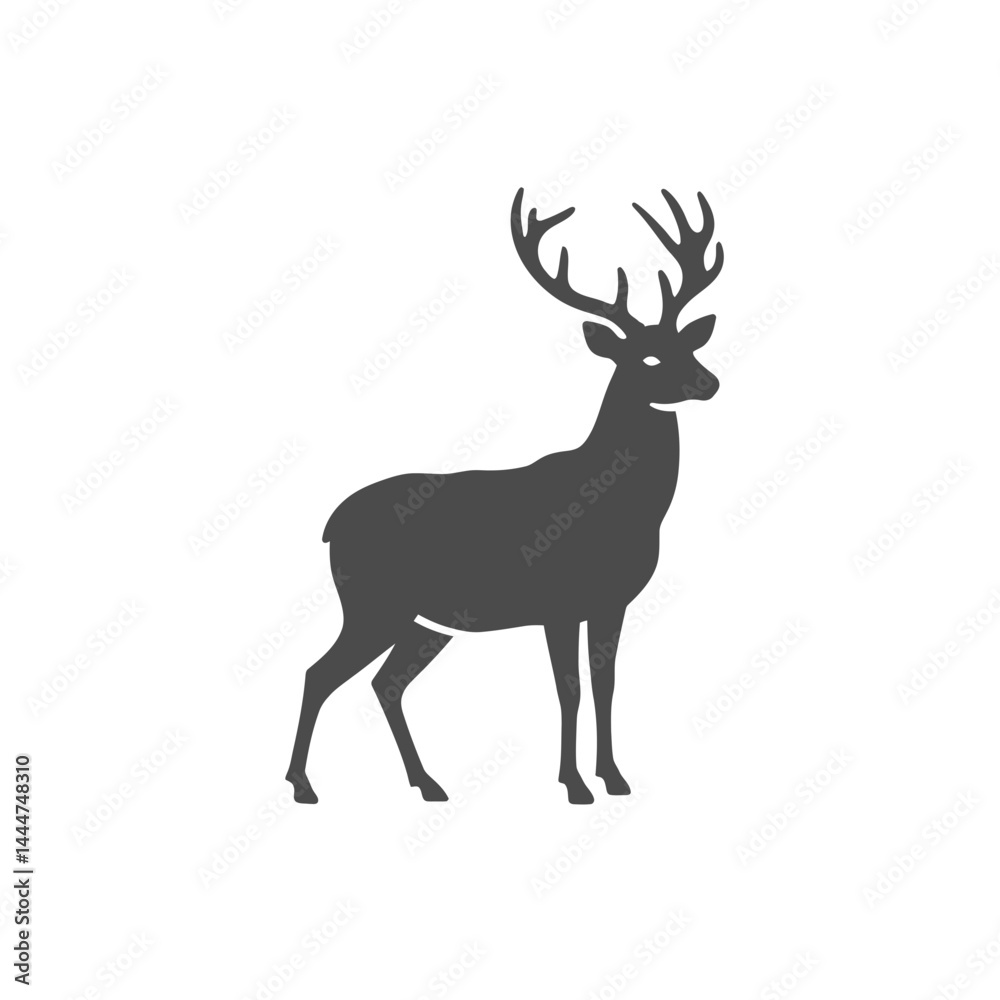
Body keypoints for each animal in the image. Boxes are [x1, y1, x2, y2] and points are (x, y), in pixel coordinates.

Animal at [287, 186, 723, 805]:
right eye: (647, 356)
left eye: (687, 344)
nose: (710, 382)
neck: (622, 510)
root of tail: (330, 524)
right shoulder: (558, 601)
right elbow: (569, 689)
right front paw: (574, 785)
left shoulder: (611, 601)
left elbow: (606, 685)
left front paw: (614, 777)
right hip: (374, 602)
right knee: (320, 672)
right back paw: (303, 785)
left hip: (423, 622)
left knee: (385, 682)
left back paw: (428, 783)